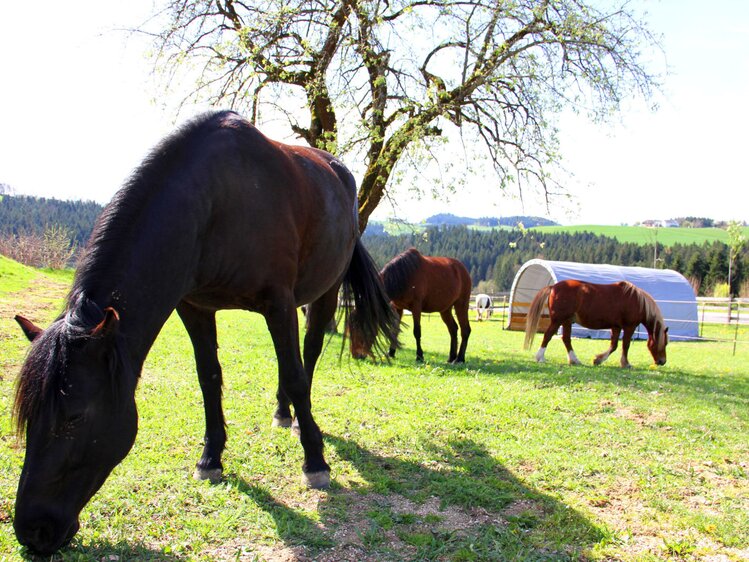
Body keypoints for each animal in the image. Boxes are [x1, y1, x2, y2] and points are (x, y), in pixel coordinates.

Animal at [11, 110, 399, 556]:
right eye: (27, 415)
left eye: (74, 416)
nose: (32, 531)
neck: (215, 202)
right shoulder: (195, 307)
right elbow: (209, 377)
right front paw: (211, 458)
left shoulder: (278, 303)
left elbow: (297, 376)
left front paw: (315, 463)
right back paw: (283, 414)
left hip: (324, 292)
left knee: (309, 353)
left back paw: (303, 424)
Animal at [523, 279, 668, 368]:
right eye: (665, 343)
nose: (662, 361)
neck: (636, 300)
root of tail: (553, 287)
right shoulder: (629, 327)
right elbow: (625, 346)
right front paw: (626, 363)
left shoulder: (616, 327)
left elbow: (614, 346)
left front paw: (598, 359)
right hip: (558, 320)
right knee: (548, 335)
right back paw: (540, 357)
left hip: (567, 321)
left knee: (566, 339)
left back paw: (574, 360)